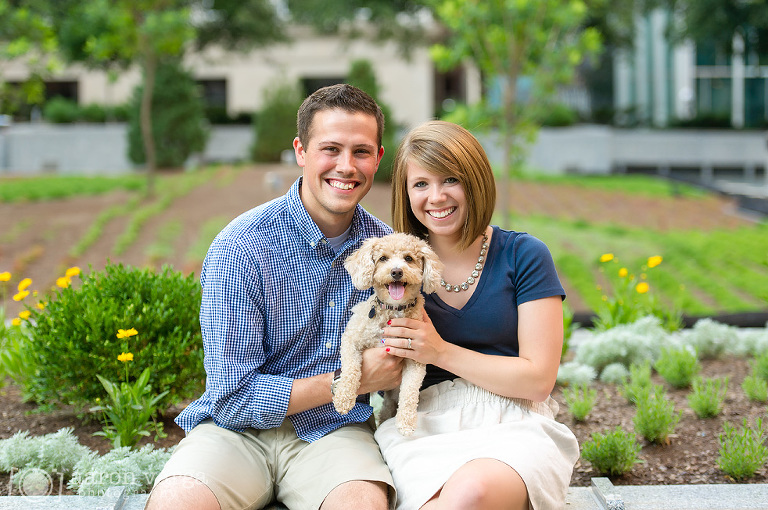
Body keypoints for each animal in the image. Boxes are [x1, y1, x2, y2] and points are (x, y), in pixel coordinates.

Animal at [332, 231, 444, 434]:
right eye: (383, 258)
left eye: (408, 258)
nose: (396, 272)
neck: (393, 309)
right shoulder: (351, 339)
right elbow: (351, 369)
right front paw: (344, 398)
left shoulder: (416, 359)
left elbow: (410, 391)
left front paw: (406, 422)